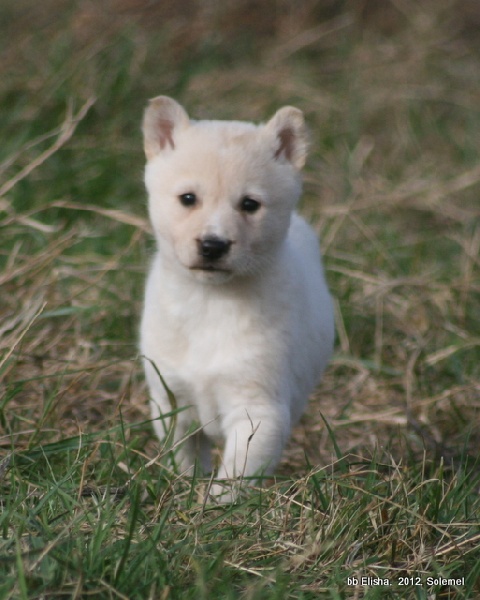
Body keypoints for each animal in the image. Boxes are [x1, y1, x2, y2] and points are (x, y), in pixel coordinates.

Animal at [139, 96, 334, 500]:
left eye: (249, 204)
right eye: (188, 199)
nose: (213, 245)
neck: (209, 303)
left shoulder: (258, 409)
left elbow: (236, 476)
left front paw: (214, 505)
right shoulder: (170, 401)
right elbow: (184, 459)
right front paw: (184, 490)